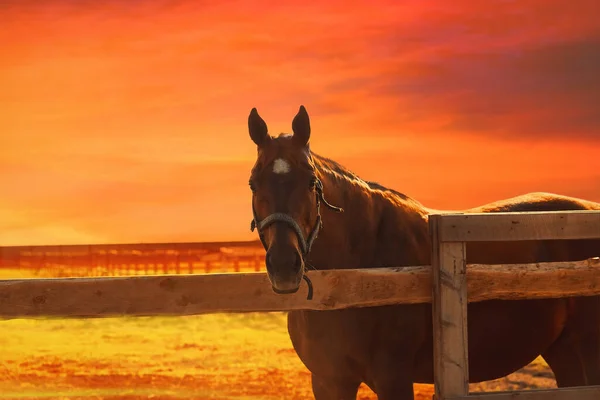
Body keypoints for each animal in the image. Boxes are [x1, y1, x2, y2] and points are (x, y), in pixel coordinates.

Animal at [245, 104, 600, 398]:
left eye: (310, 182)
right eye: (253, 183)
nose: (284, 265)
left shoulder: (393, 378)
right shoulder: (329, 380)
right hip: (563, 351)